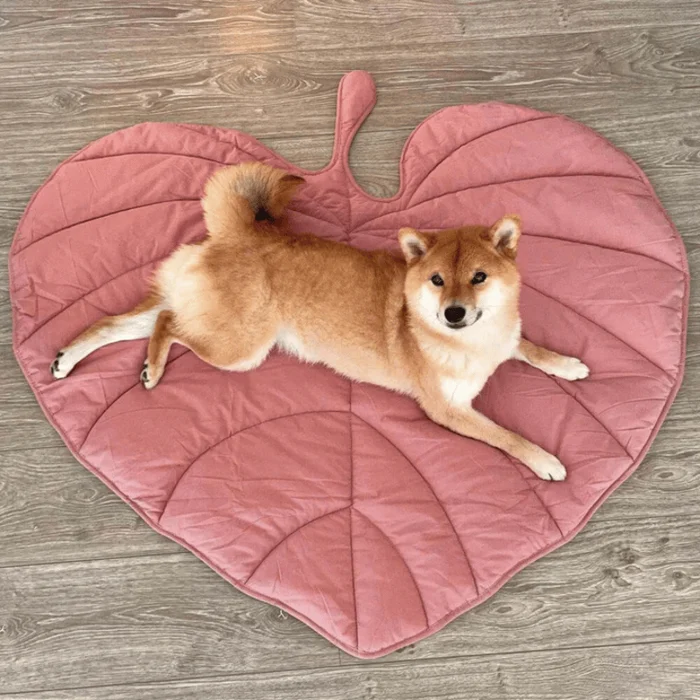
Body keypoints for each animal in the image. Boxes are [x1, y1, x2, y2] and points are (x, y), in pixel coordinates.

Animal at [52, 164, 588, 482]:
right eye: (437, 280)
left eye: (479, 278)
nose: (454, 312)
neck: (474, 343)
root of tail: (242, 231)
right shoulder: (448, 411)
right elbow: (509, 436)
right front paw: (545, 460)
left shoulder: (506, 338)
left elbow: (532, 347)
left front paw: (568, 363)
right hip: (240, 350)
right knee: (167, 323)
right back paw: (154, 369)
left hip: (199, 312)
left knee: (116, 323)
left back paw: (70, 360)